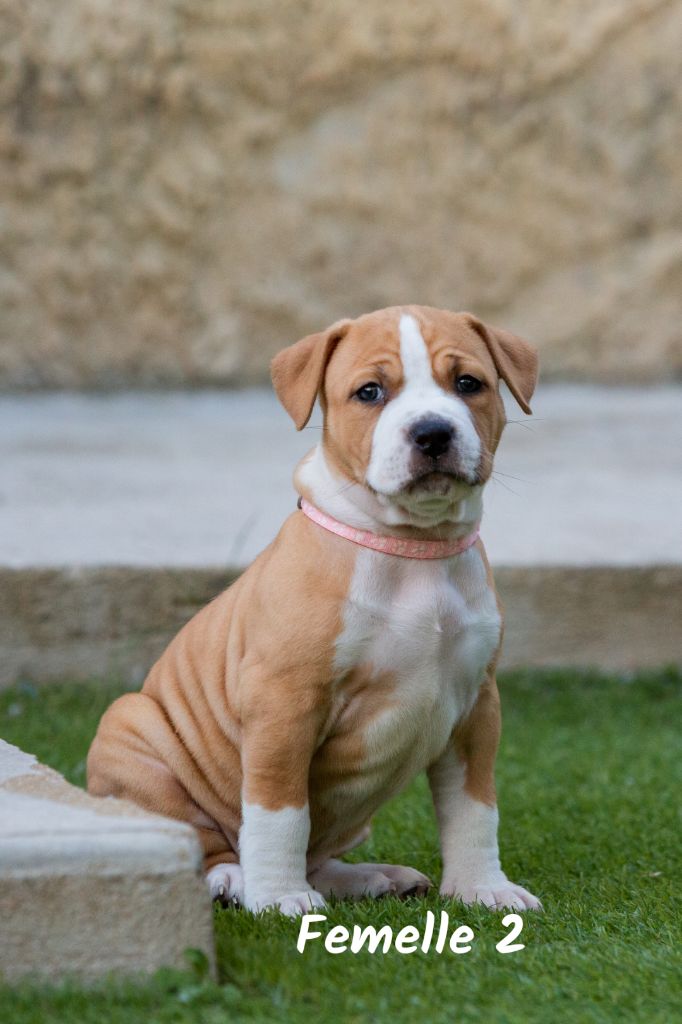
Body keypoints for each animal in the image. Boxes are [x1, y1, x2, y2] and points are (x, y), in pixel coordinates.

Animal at [87, 301, 540, 913]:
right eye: (370, 392)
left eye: (468, 383)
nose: (432, 432)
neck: (414, 550)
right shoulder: (285, 702)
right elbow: (280, 811)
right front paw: (279, 897)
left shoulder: (476, 707)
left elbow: (475, 808)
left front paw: (482, 888)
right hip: (135, 728)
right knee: (201, 839)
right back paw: (233, 879)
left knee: (319, 855)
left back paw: (374, 877)